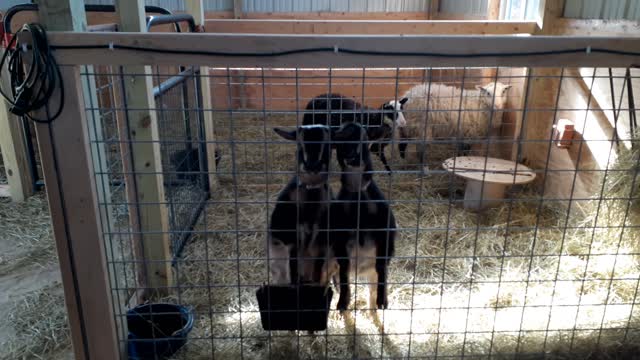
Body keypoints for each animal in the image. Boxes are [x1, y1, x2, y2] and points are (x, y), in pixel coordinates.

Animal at [268, 124, 336, 286]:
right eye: (299, 145)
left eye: (328, 146)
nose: (312, 166)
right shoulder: (291, 240)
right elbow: (293, 271)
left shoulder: (322, 242)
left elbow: (318, 272)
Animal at [330, 123, 396, 312]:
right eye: (340, 138)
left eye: (364, 135)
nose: (351, 155)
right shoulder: (339, 235)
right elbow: (344, 273)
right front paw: (343, 302)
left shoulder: (385, 230)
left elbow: (382, 266)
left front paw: (383, 301)